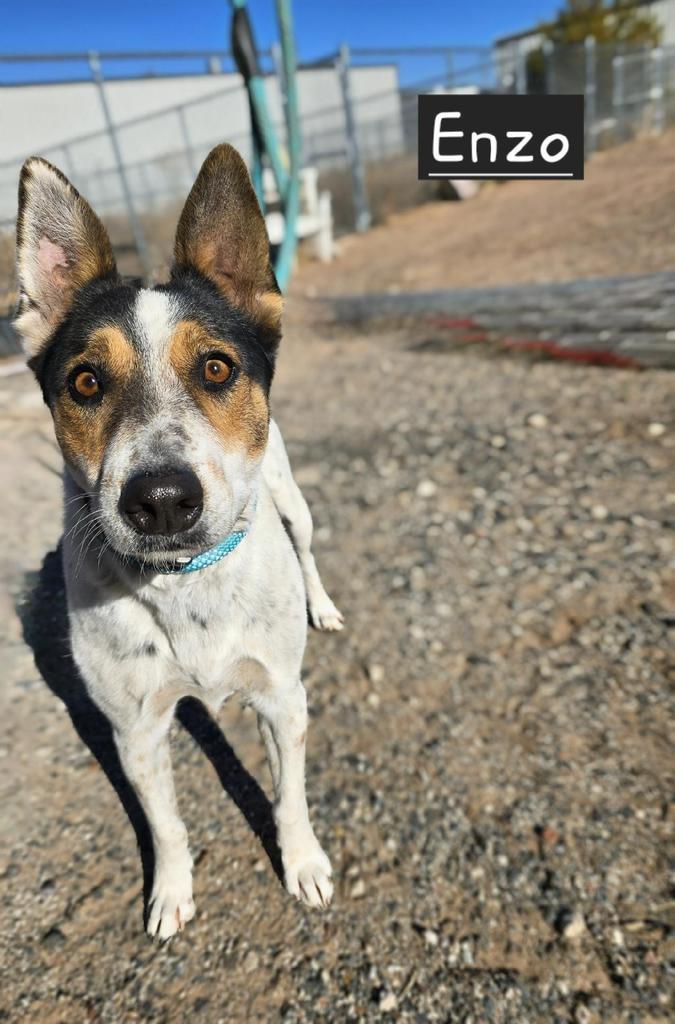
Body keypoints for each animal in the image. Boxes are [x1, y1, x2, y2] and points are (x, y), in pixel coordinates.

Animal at [14, 146, 344, 942]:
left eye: (217, 368)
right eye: (85, 381)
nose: (160, 500)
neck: (184, 584)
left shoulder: (282, 700)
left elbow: (289, 797)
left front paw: (304, 865)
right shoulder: (133, 730)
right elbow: (163, 824)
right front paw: (170, 893)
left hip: (293, 500)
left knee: (307, 546)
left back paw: (321, 606)